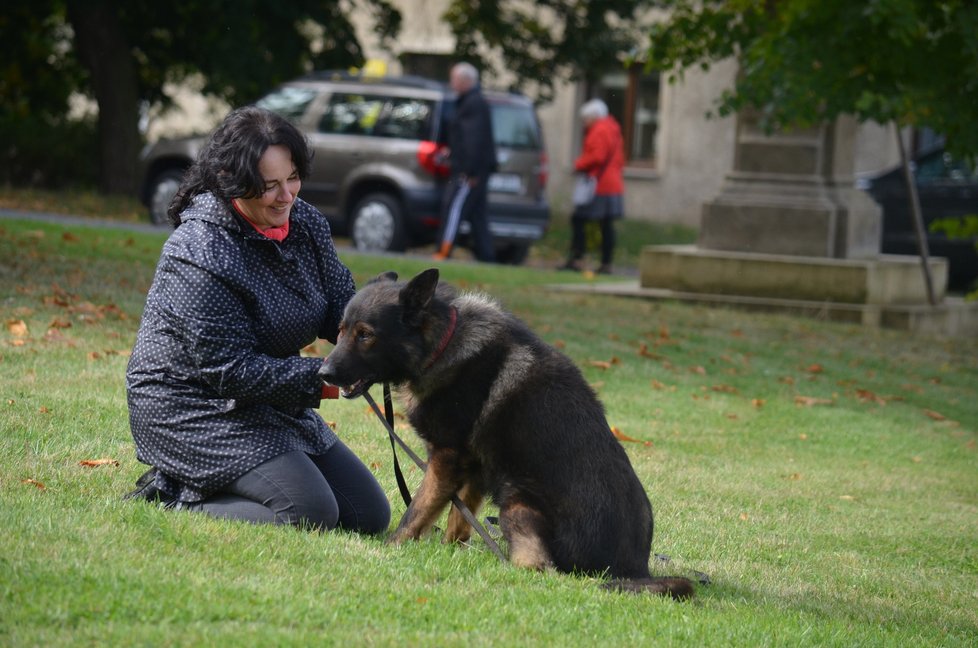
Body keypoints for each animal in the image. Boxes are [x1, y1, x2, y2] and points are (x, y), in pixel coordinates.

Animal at [316, 268, 692, 596]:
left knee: (539, 567)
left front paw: (391, 547)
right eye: (341, 330)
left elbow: (416, 512)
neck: (441, 345)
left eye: (365, 334)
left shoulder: (445, 460)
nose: (323, 373)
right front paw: (449, 552)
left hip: (516, 503)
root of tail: (635, 570)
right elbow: (458, 522)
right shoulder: (474, 470)